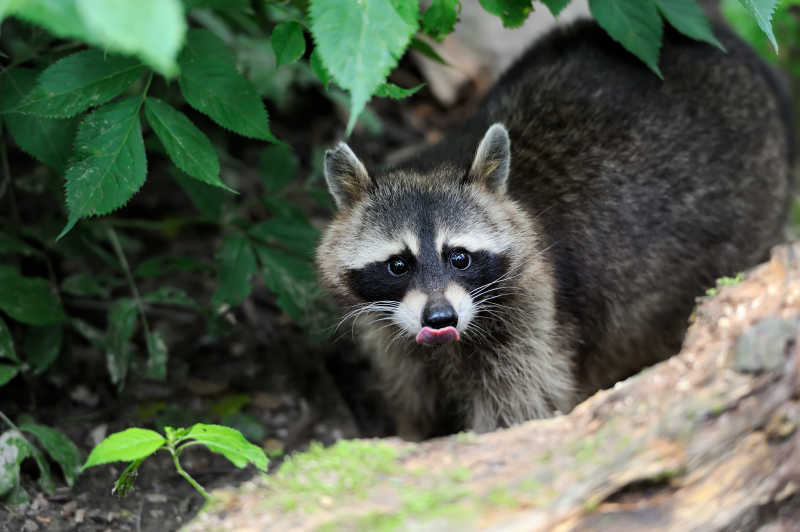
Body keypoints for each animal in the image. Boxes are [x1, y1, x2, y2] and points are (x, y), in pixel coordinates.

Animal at [314, 20, 792, 440]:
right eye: (398, 265)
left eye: (459, 257)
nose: (440, 318)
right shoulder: (394, 337)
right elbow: (413, 398)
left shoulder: (535, 316)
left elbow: (519, 411)